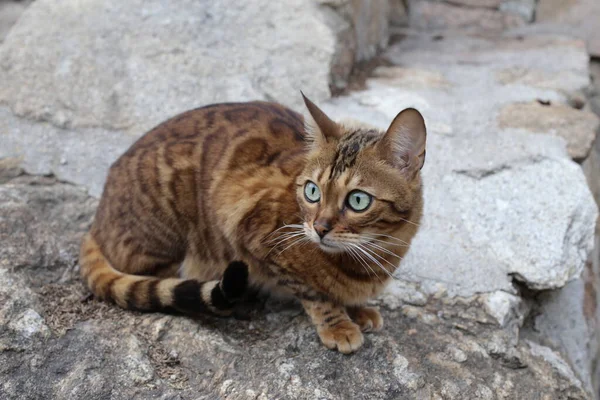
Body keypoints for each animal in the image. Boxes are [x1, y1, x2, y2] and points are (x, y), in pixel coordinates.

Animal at [79, 94, 426, 354]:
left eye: (357, 200)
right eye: (312, 191)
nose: (319, 228)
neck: (373, 255)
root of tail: (97, 219)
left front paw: (358, 309)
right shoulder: (248, 227)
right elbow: (314, 293)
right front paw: (338, 324)